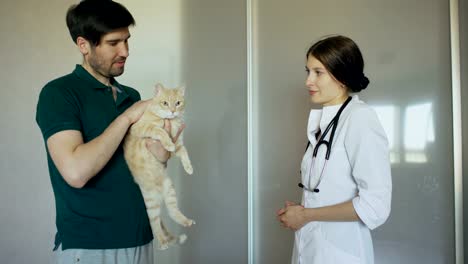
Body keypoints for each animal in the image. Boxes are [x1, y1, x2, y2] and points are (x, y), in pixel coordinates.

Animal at [123, 82, 195, 250]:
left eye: (178, 103)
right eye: (165, 103)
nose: (173, 111)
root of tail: (160, 193)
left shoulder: (178, 144)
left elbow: (184, 152)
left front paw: (189, 168)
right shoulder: (139, 127)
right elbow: (159, 130)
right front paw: (167, 142)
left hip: (170, 191)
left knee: (173, 212)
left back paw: (186, 221)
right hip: (151, 205)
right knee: (155, 225)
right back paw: (163, 243)